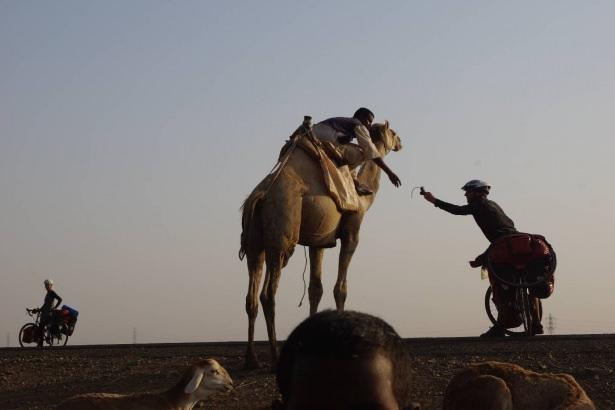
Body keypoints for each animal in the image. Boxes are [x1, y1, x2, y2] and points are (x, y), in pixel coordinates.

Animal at [238, 120, 402, 370]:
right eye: (392, 132)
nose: (401, 141)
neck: (363, 200)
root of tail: (261, 195)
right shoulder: (352, 232)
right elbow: (340, 288)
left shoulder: (319, 241)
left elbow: (315, 288)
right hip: (282, 237)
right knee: (268, 294)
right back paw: (275, 358)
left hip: (255, 244)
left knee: (251, 296)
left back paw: (251, 360)